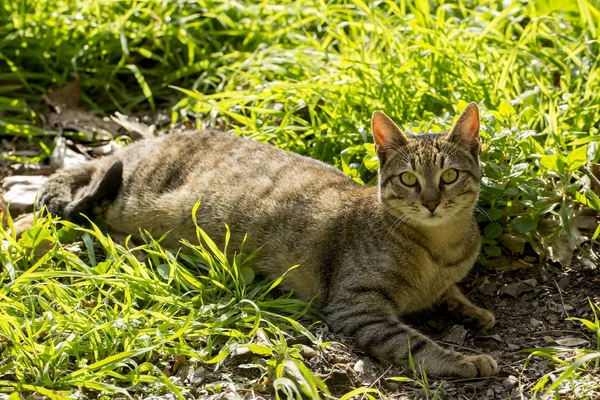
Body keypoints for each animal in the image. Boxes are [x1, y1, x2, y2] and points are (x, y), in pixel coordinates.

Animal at [37, 103, 496, 378]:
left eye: (449, 175)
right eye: (409, 180)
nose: (432, 202)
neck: (439, 248)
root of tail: (138, 144)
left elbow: (450, 293)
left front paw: (472, 310)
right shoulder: (356, 308)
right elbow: (415, 344)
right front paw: (465, 360)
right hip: (124, 194)